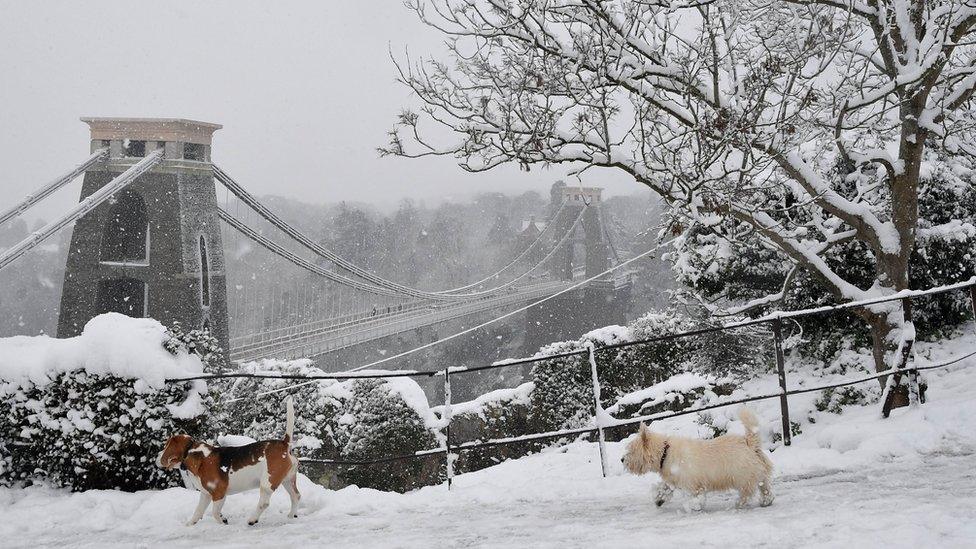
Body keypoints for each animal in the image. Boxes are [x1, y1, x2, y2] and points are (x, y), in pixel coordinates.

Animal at [156, 396, 300, 524]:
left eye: (166, 445)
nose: (157, 457)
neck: (193, 452)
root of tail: (284, 444)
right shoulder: (205, 495)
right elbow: (197, 512)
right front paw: (190, 524)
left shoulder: (219, 493)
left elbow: (215, 513)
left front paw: (223, 520)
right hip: (287, 480)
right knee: (296, 496)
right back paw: (291, 516)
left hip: (267, 483)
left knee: (264, 503)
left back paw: (252, 519)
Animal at [620, 406, 772, 510]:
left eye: (631, 450)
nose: (622, 459)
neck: (665, 453)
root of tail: (749, 442)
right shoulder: (673, 479)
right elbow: (665, 488)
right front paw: (659, 499)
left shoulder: (693, 483)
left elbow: (696, 497)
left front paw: (694, 506)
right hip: (759, 473)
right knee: (764, 487)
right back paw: (766, 501)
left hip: (742, 476)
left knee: (747, 491)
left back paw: (739, 504)